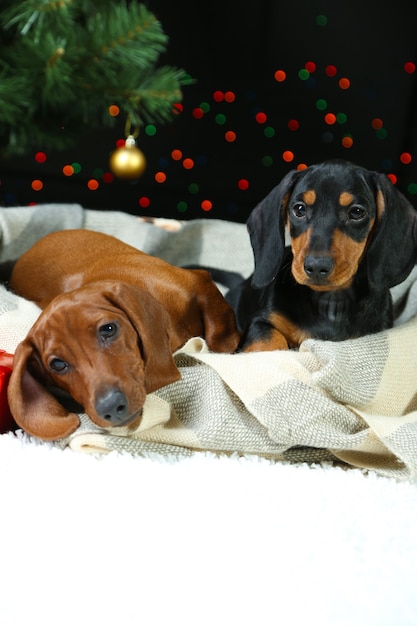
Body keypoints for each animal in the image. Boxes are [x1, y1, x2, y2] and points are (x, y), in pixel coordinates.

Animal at [228, 158, 416, 348]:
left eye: (357, 212)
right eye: (299, 209)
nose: (316, 267)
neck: (331, 301)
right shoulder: (261, 321)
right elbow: (268, 339)